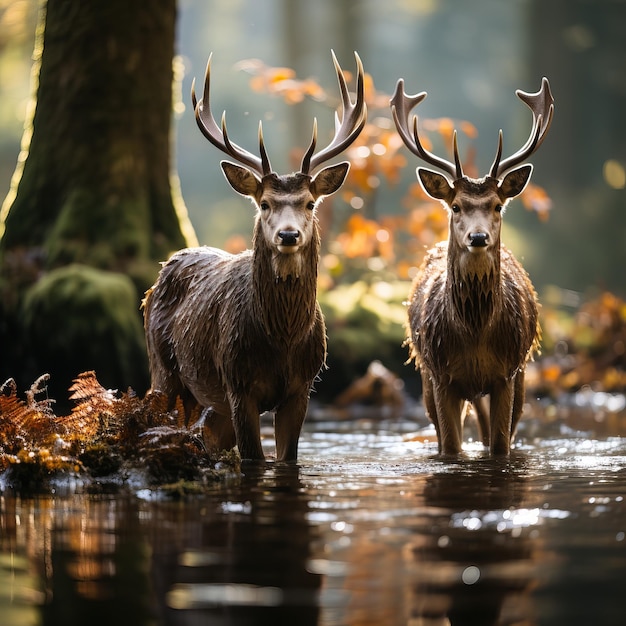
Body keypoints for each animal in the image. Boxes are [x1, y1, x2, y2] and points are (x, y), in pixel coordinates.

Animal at [141, 50, 366, 458]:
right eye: (264, 203)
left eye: (310, 203)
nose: (288, 234)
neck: (282, 341)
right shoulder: (237, 383)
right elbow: (253, 460)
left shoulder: (302, 388)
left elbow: (287, 458)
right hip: (163, 369)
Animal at [392, 77, 552, 454]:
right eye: (456, 206)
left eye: (497, 205)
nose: (478, 237)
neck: (476, 334)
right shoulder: (440, 375)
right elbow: (450, 446)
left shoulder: (507, 372)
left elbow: (500, 446)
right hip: (425, 374)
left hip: (521, 373)